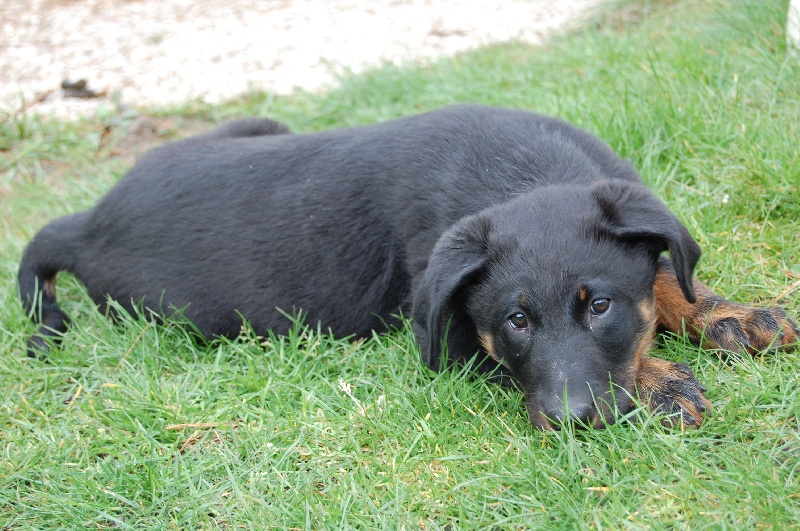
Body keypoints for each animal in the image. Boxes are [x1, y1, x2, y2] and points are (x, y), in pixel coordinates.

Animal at [17, 106, 792, 430]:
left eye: (599, 305)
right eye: (514, 322)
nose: (572, 423)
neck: (519, 174)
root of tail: (85, 223)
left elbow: (664, 273)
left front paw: (729, 312)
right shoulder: (449, 337)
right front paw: (663, 384)